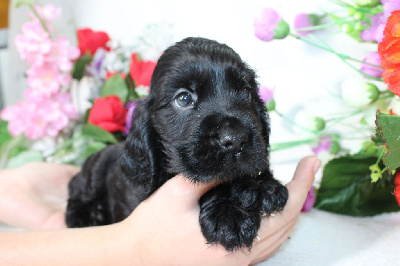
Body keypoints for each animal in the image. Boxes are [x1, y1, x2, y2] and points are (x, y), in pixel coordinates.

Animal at [67, 37, 290, 251]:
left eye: (246, 92)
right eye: (183, 99)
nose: (234, 139)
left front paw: (264, 186)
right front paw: (229, 214)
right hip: (94, 170)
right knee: (76, 187)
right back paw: (85, 217)